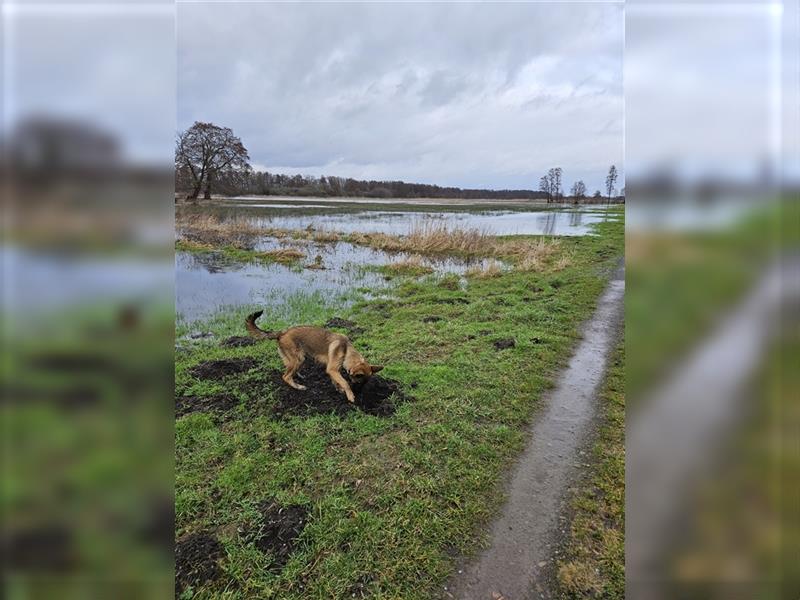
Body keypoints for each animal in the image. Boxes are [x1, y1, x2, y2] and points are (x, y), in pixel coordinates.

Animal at [245, 310, 382, 404]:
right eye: (359, 382)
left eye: (364, 384)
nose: (359, 393)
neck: (346, 350)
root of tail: (282, 333)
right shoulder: (333, 369)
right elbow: (345, 382)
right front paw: (350, 395)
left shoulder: (333, 370)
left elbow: (337, 381)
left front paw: (339, 389)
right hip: (298, 359)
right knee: (285, 376)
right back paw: (298, 386)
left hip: (297, 358)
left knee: (288, 370)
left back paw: (298, 375)